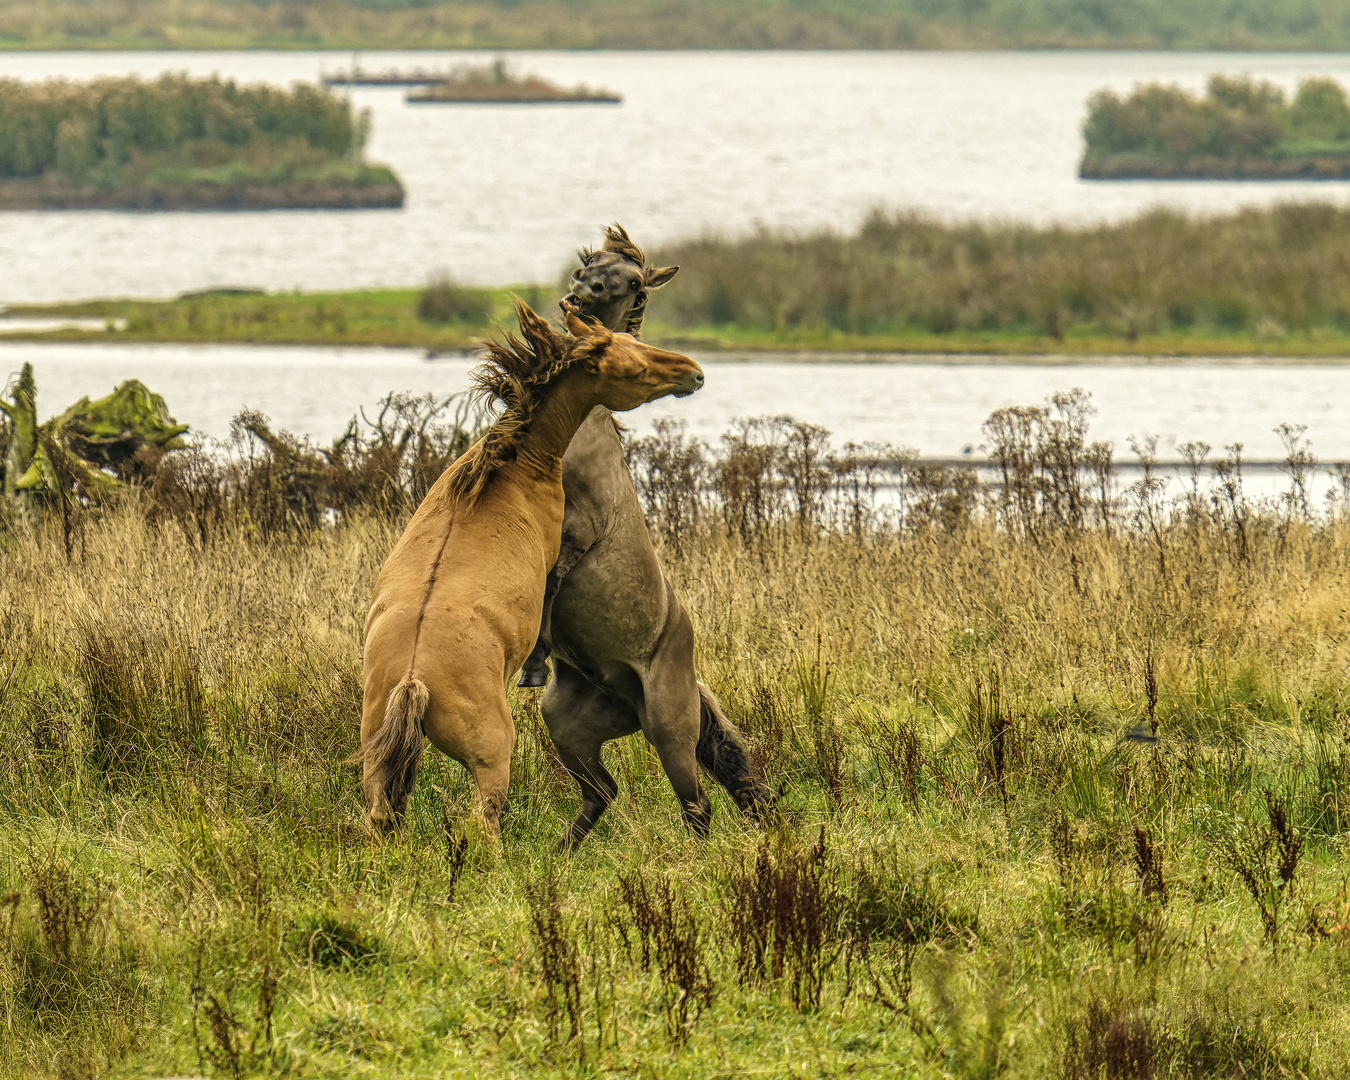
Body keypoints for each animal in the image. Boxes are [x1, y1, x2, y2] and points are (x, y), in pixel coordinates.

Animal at [359, 299, 707, 837]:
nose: (694, 372)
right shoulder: (555, 556)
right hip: (492, 756)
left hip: (376, 756)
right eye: (635, 368)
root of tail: (412, 681)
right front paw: (535, 668)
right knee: (483, 820)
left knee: (380, 816)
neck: (507, 473)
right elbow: (550, 598)